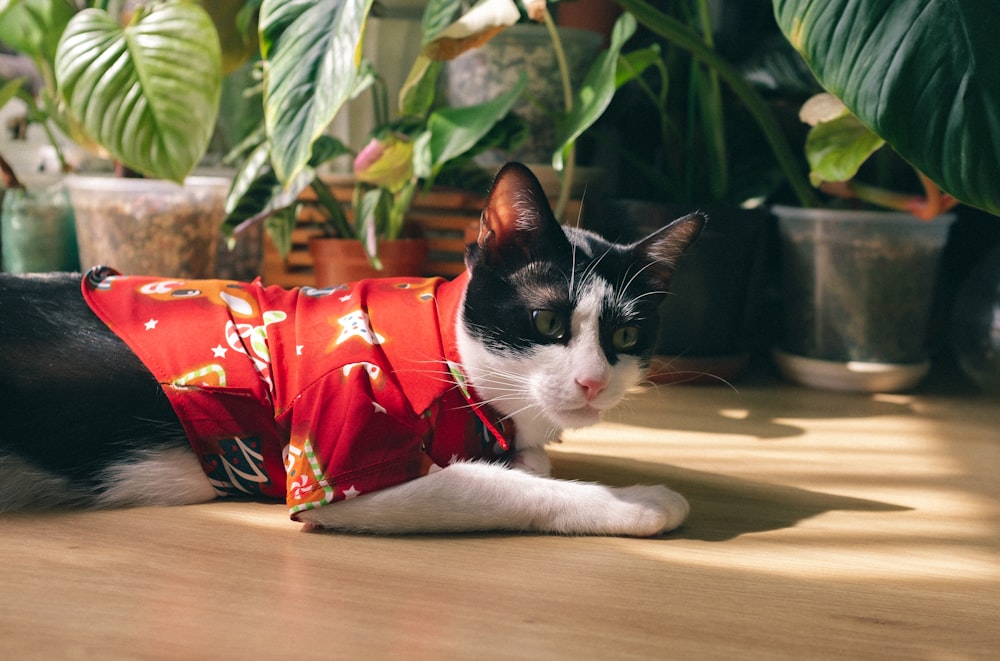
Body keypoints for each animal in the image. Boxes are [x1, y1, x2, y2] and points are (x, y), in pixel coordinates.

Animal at [0, 161, 704, 536]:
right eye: (547, 320)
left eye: (627, 337)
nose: (592, 382)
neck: (444, 350)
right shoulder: (337, 439)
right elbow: (496, 487)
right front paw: (634, 501)